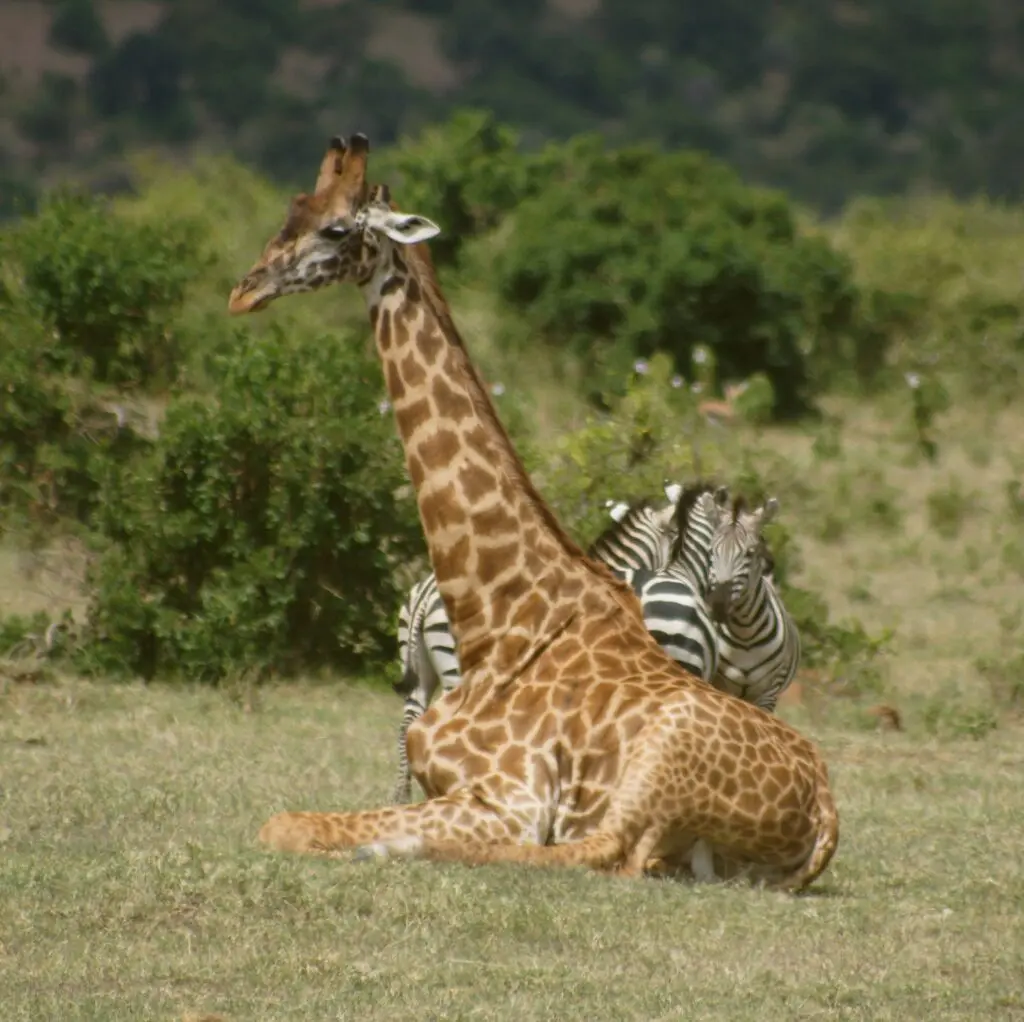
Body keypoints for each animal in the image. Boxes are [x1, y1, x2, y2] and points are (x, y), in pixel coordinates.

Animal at [698, 491, 800, 713]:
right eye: (710, 551)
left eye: (750, 553)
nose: (717, 605)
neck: (744, 635)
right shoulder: (716, 682)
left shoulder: (768, 695)